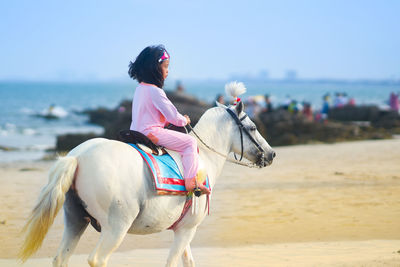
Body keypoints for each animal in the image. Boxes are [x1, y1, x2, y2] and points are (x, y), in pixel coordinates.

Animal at [18, 93, 276, 266]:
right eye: (253, 127)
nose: (272, 154)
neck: (202, 158)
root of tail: (79, 156)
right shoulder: (187, 230)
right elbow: (172, 263)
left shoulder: (184, 229)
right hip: (116, 228)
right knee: (97, 259)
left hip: (75, 221)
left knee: (61, 258)